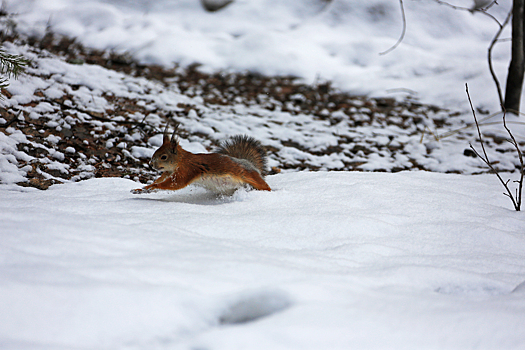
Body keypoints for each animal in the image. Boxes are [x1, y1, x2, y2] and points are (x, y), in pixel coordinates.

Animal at [131, 122, 270, 194]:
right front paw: (142, 189)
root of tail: (250, 165)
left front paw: (152, 187)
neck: (180, 161)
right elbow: (159, 181)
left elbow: (175, 183)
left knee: (263, 185)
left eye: (163, 157)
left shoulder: (187, 169)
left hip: (250, 176)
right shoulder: (167, 173)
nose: (151, 164)